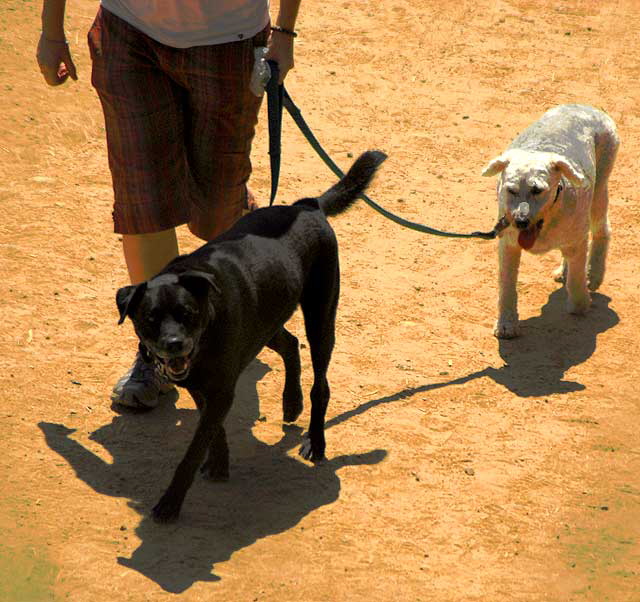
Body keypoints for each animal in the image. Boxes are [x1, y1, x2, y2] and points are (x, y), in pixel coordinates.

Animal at [115, 149, 384, 520]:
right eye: (150, 317)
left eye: (188, 314)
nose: (174, 345)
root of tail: (309, 206)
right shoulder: (205, 387)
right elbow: (213, 433)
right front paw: (219, 464)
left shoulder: (220, 388)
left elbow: (193, 450)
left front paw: (170, 502)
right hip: (265, 322)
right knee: (290, 344)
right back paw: (291, 402)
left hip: (320, 317)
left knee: (321, 385)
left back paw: (315, 442)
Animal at [484, 104, 620, 338]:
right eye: (511, 190)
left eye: (537, 190)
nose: (520, 221)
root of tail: (586, 106)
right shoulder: (508, 246)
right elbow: (507, 287)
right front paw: (506, 324)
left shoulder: (577, 240)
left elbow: (577, 279)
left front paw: (580, 302)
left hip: (600, 189)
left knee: (603, 230)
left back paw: (593, 273)